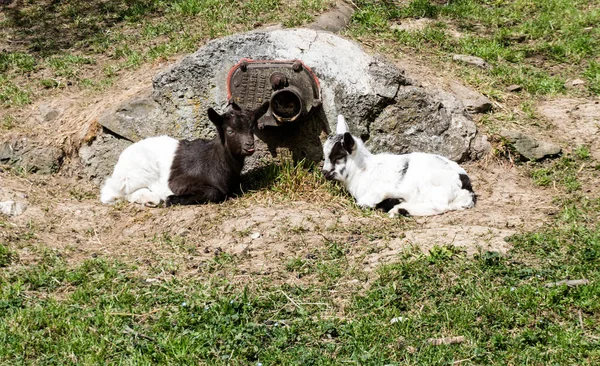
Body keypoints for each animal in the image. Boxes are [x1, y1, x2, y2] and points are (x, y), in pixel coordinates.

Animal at [99, 101, 268, 206]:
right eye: (230, 131)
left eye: (252, 128)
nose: (249, 145)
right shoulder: (179, 182)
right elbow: (213, 192)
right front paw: (171, 199)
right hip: (138, 173)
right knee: (116, 193)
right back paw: (152, 199)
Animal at [322, 114, 476, 216]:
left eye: (339, 157)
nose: (324, 172)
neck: (364, 170)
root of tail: (465, 186)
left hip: (432, 183)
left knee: (440, 206)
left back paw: (399, 209)